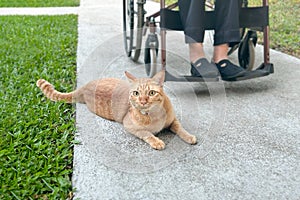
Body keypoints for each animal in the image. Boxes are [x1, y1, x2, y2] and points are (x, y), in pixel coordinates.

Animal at [37, 70, 197, 150]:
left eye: (151, 93)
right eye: (136, 93)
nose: (142, 101)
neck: (154, 114)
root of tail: (85, 86)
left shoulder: (173, 120)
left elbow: (180, 128)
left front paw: (189, 136)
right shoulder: (130, 126)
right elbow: (146, 133)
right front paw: (156, 141)